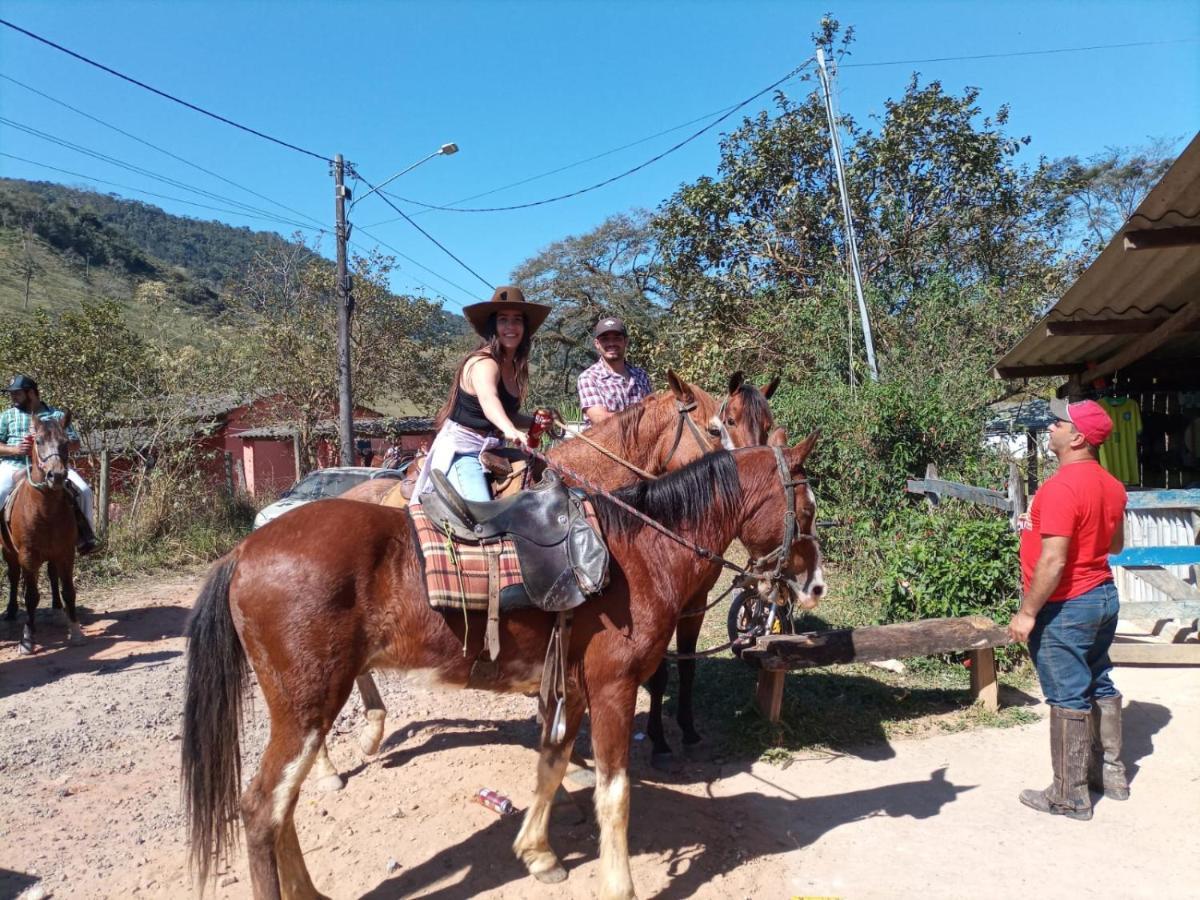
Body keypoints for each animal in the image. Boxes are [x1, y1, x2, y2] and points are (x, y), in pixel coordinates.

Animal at [2, 415, 83, 657]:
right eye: (37, 441)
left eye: (66, 442)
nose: (56, 475)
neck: (44, 510)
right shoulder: (28, 557)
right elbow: (31, 597)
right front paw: (28, 639)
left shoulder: (66, 552)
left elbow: (68, 591)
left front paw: (75, 631)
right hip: (9, 552)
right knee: (13, 576)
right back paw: (10, 612)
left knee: (53, 576)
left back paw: (57, 610)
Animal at [177, 441, 820, 897]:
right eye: (808, 508)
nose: (815, 585)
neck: (638, 553)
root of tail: (244, 551)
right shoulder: (614, 690)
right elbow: (614, 793)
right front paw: (619, 886)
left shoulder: (572, 690)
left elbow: (551, 765)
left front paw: (538, 853)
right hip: (308, 705)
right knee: (262, 808)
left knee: (281, 807)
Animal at [309, 372, 777, 787]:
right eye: (718, 426)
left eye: (768, 425)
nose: (754, 471)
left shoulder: (688, 601)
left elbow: (683, 668)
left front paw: (684, 734)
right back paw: (330, 766)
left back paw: (371, 732)